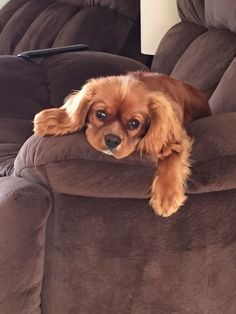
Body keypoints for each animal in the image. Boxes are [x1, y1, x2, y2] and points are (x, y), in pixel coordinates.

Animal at [32, 72, 210, 217]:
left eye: (134, 124)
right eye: (100, 114)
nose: (112, 140)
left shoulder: (179, 138)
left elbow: (172, 156)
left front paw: (167, 196)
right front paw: (54, 121)